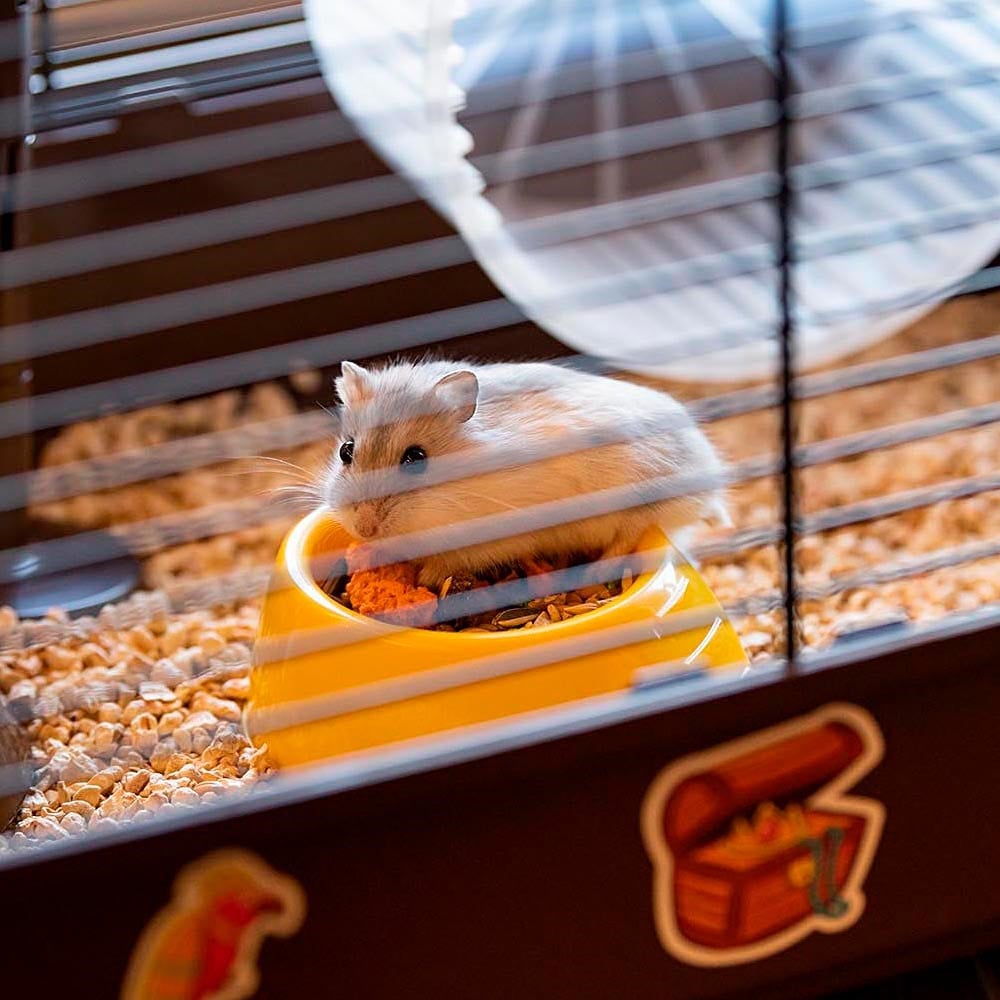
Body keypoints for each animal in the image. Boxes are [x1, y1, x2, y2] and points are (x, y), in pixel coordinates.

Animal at [322, 359, 729, 589]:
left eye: (416, 458)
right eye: (346, 451)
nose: (364, 529)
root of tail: (711, 479)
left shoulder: (501, 537)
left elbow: (454, 559)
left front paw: (426, 577)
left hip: (645, 498)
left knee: (631, 533)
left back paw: (595, 573)